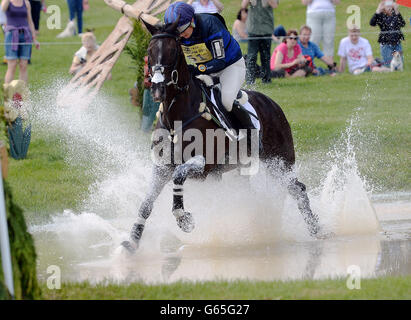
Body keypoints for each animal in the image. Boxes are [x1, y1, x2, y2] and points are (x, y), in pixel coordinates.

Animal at [120, 20, 324, 252]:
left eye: (173, 51)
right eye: (149, 52)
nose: (157, 89)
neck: (178, 116)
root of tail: (272, 103)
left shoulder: (203, 164)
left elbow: (179, 175)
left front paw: (184, 219)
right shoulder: (162, 167)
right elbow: (146, 203)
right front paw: (133, 241)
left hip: (280, 160)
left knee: (297, 188)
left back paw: (317, 230)